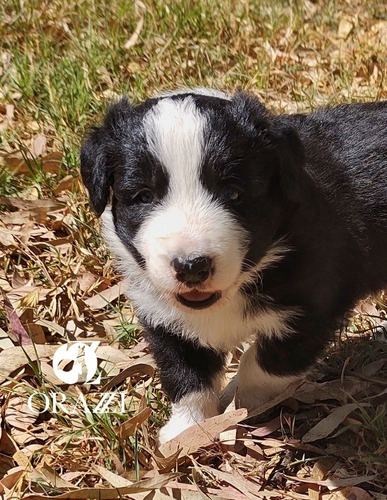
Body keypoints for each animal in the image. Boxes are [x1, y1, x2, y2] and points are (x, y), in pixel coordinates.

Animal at [79, 89, 387, 442]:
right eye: (143, 196)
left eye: (233, 193)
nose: (191, 266)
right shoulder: (164, 315)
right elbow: (185, 373)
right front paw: (187, 432)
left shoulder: (312, 308)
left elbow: (260, 365)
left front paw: (238, 405)